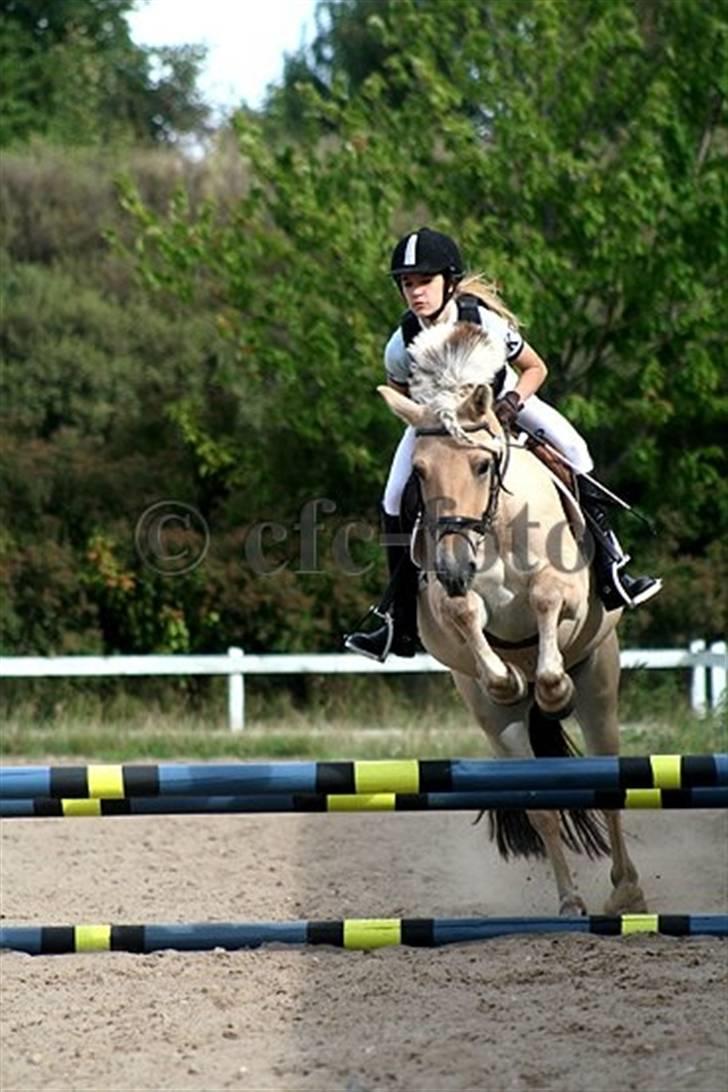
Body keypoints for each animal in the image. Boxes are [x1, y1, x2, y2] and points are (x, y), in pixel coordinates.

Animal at [379, 318, 646, 917]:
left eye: (482, 465)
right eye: (421, 474)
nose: (453, 565)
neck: (493, 525)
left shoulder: (565, 590)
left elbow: (546, 600)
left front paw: (551, 688)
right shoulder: (449, 612)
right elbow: (466, 616)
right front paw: (513, 681)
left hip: (600, 679)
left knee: (609, 779)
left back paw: (627, 891)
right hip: (492, 722)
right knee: (541, 803)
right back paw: (571, 902)